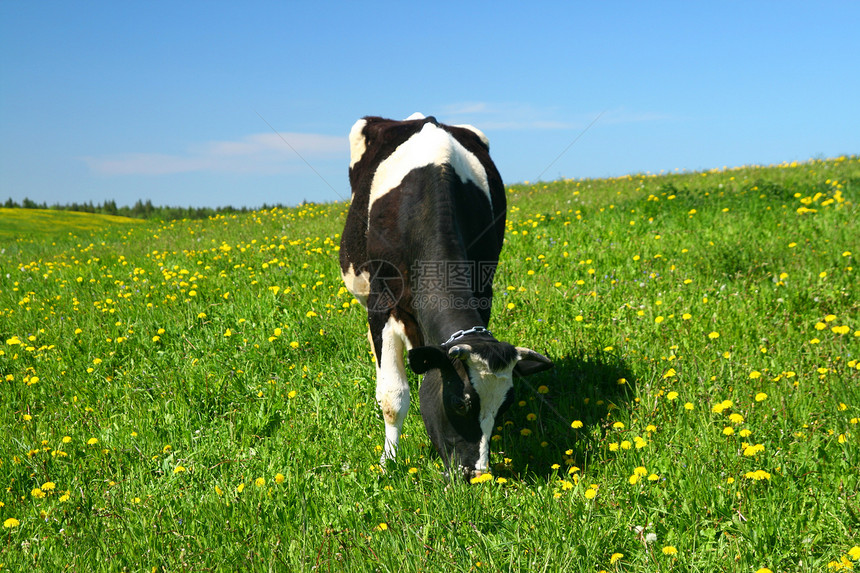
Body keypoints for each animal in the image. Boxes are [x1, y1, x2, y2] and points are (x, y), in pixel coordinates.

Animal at [340, 111, 556, 478]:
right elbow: (392, 395)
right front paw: (388, 463)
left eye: (505, 406)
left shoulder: (483, 290)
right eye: (459, 402)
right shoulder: (381, 304)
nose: (475, 472)